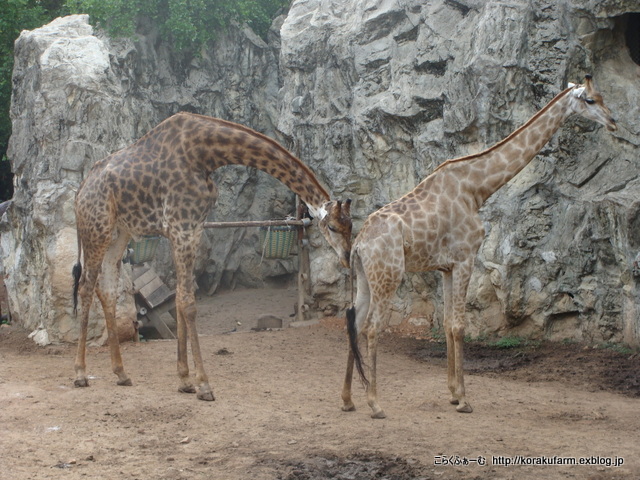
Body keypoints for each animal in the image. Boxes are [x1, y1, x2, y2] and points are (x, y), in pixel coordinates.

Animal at [72, 110, 352, 400]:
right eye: (332, 227)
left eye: (351, 226)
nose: (347, 257)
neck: (206, 153)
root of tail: (79, 192)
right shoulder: (181, 227)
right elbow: (188, 302)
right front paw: (204, 384)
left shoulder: (191, 228)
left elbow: (181, 298)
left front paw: (185, 380)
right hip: (96, 230)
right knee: (85, 286)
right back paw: (80, 374)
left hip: (119, 234)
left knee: (106, 289)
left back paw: (121, 373)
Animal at [342, 74, 616, 416]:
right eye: (590, 100)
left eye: (602, 97)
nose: (613, 121)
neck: (477, 188)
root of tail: (359, 244)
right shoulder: (465, 257)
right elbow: (461, 326)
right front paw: (464, 400)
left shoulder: (445, 266)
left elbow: (448, 324)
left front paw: (451, 393)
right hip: (388, 275)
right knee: (372, 327)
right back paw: (375, 403)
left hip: (366, 278)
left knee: (354, 323)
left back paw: (348, 400)